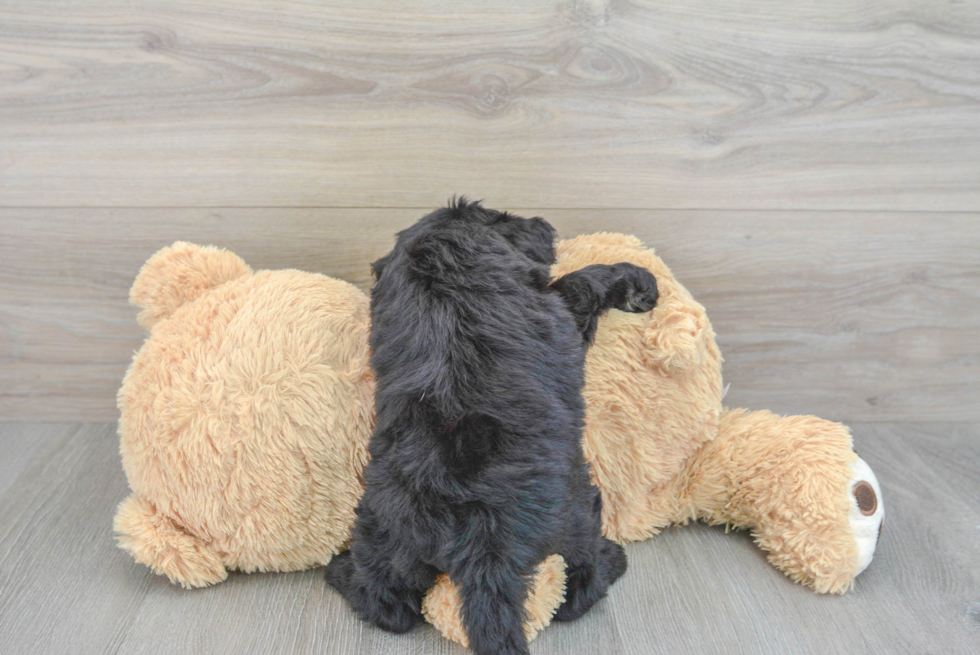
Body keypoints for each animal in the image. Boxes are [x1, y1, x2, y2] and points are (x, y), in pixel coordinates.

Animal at [328, 200, 660, 655]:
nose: (543, 224)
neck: (443, 264)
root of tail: (484, 548)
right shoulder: (560, 307)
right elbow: (582, 282)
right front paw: (636, 280)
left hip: (385, 538)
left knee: (387, 608)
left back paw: (341, 570)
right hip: (579, 511)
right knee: (580, 587)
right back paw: (612, 560)